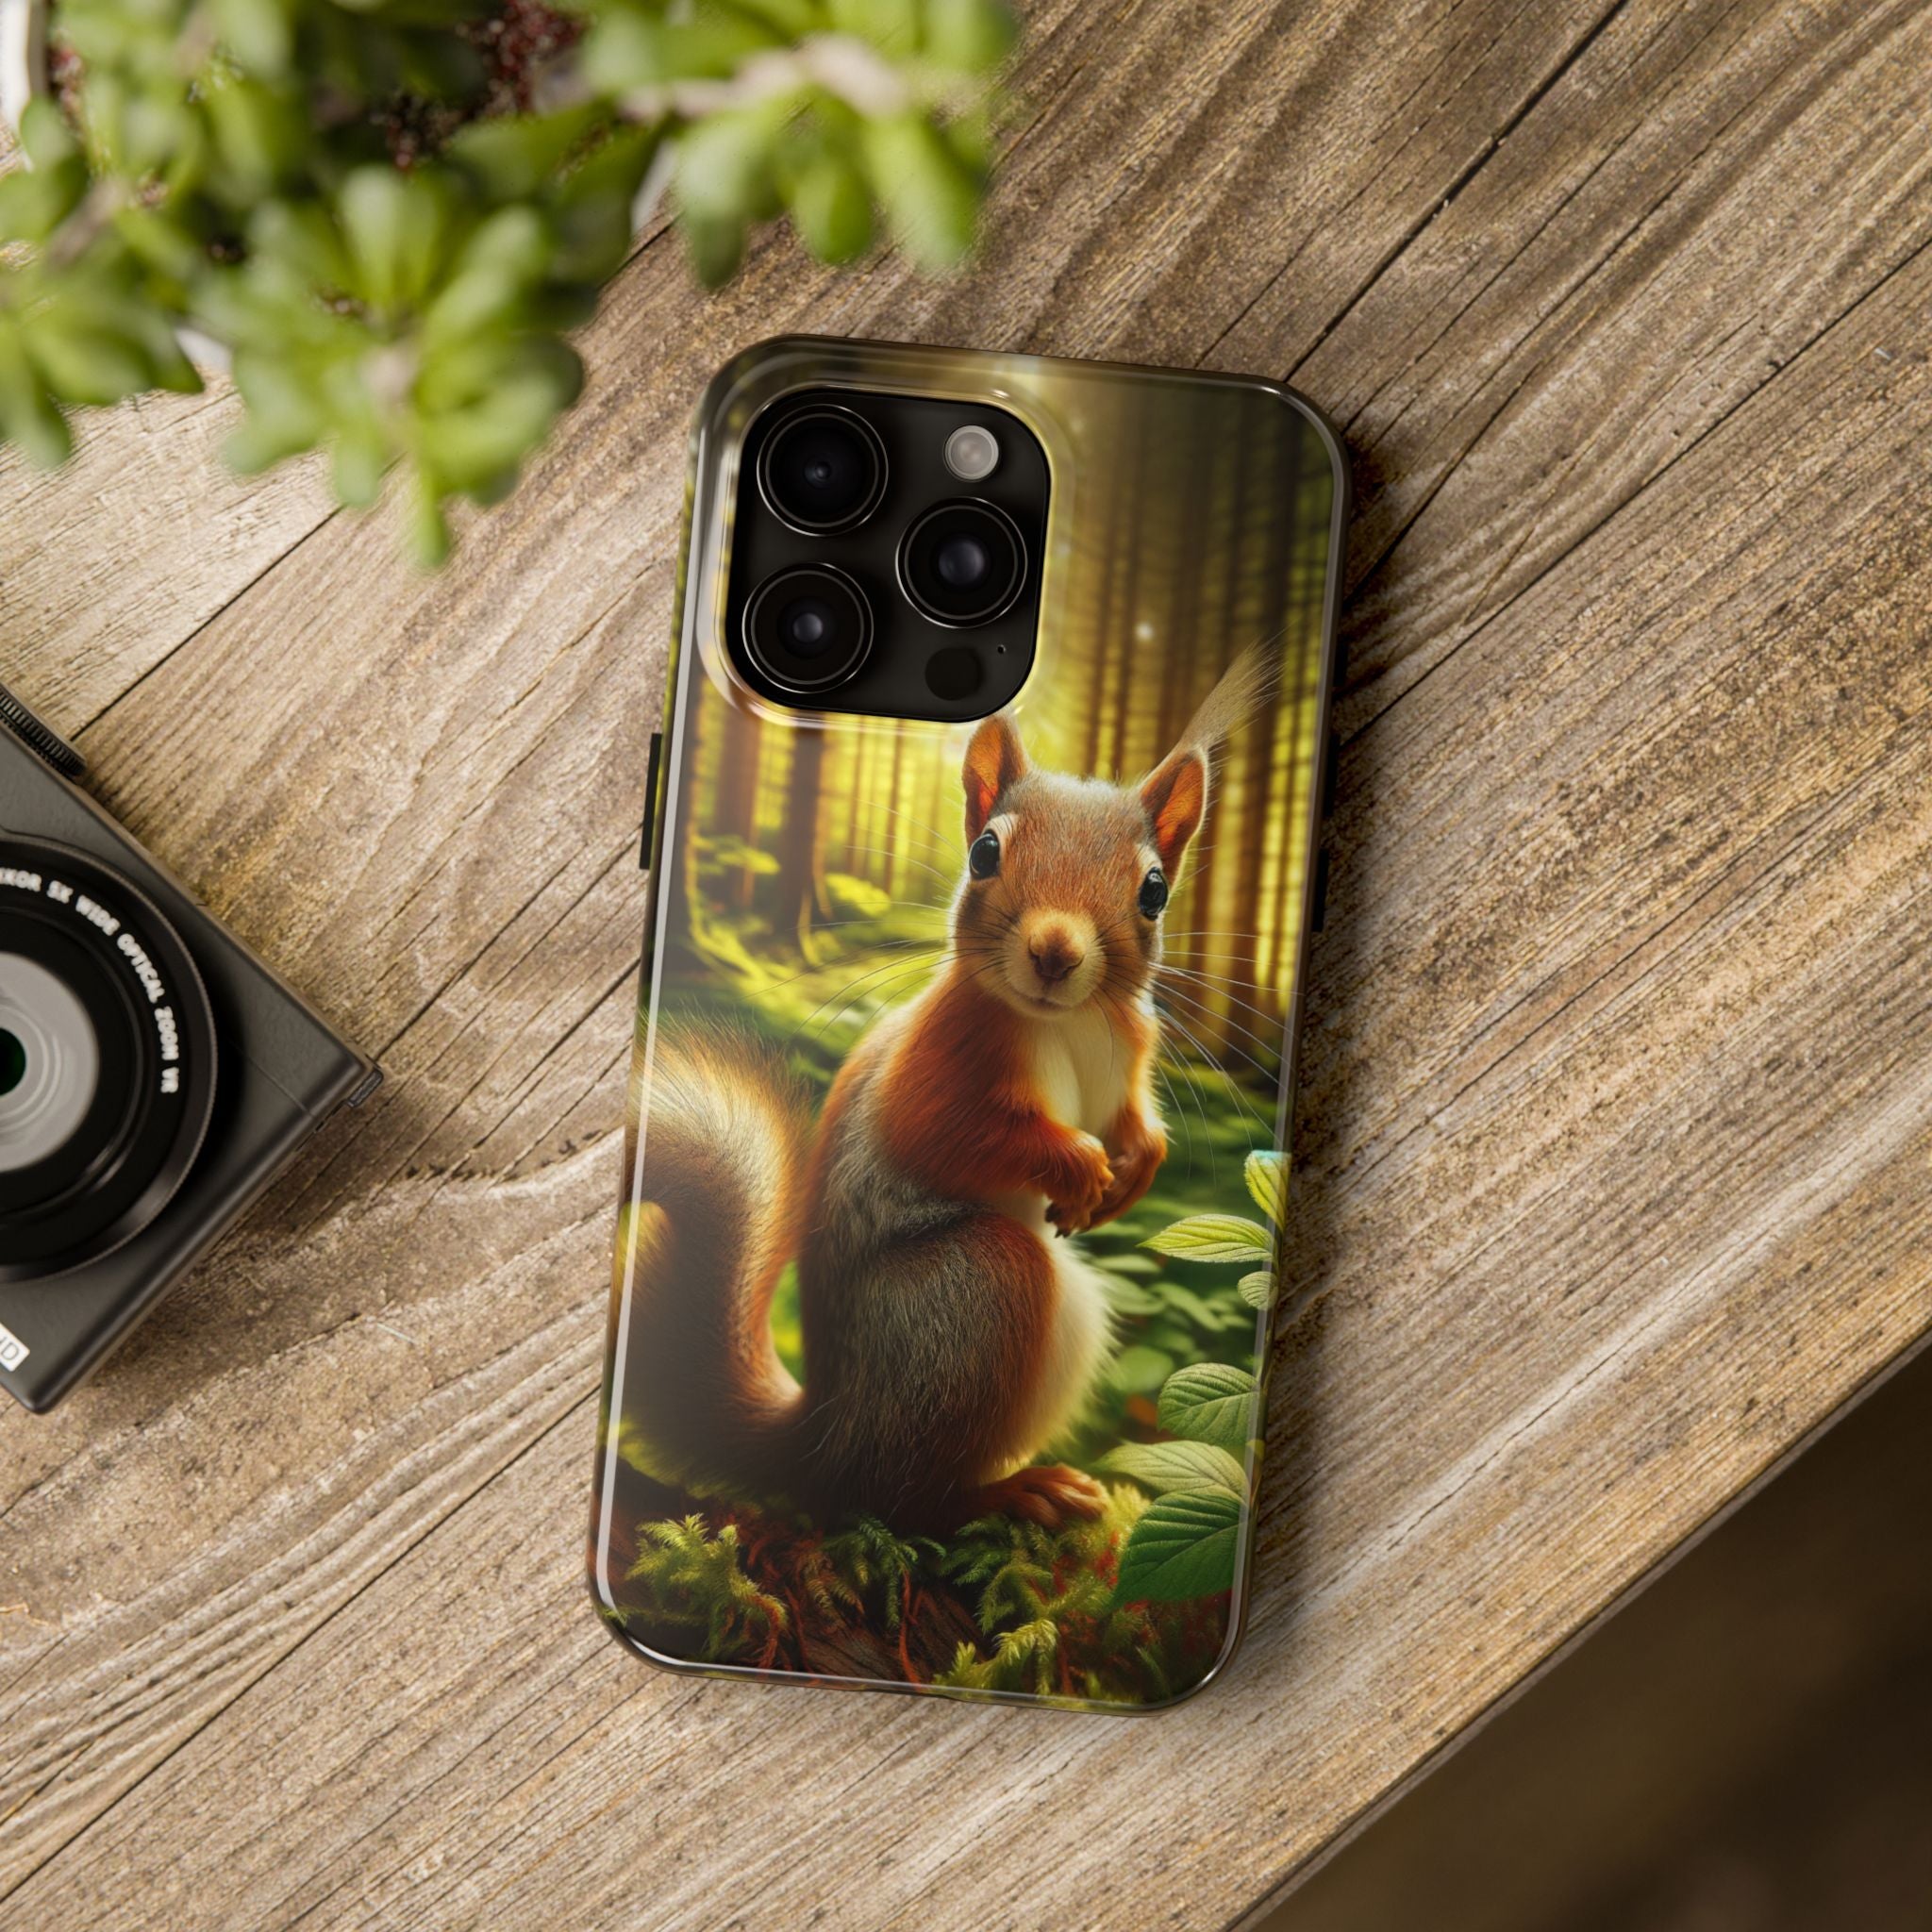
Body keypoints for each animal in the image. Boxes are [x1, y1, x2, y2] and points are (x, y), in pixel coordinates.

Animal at [618, 653, 1268, 1531]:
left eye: (1155, 890)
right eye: (986, 851)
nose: (1056, 953)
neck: (1069, 1022)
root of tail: (822, 1437)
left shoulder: (1129, 1056)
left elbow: (1134, 1120)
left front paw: (1133, 1169)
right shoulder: (939, 1057)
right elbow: (943, 1134)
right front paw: (1079, 1166)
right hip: (978, 1290)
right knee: (897, 1499)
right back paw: (1011, 1490)